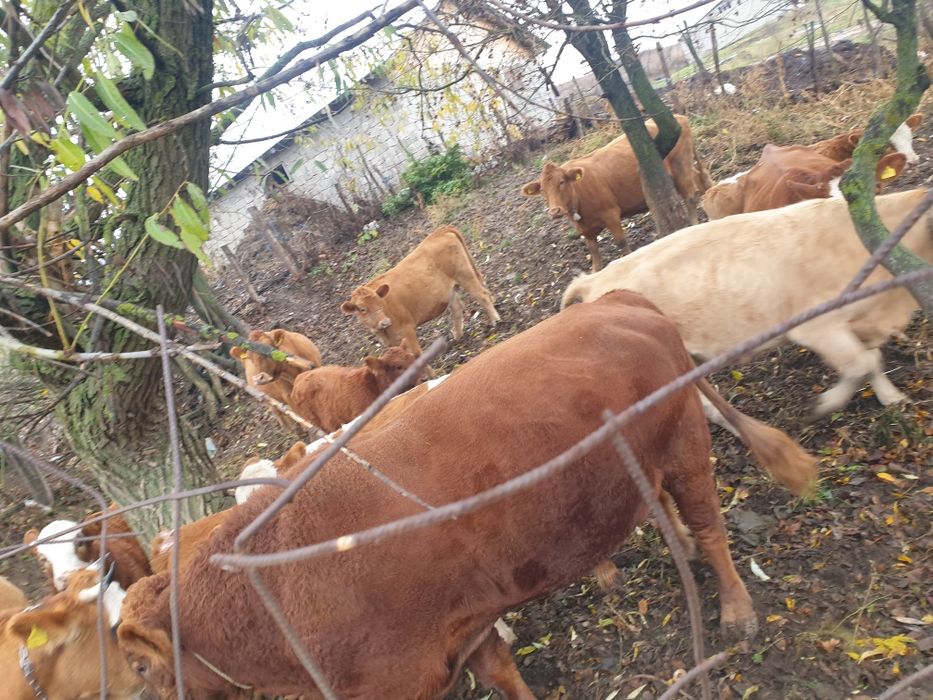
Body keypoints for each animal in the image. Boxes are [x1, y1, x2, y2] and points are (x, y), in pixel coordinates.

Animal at [341, 226, 500, 354]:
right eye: (362, 309)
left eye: (380, 302)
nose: (384, 322)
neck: (384, 332)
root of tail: (440, 231)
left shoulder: (408, 329)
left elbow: (416, 353)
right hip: (450, 290)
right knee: (457, 308)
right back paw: (458, 336)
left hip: (464, 275)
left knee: (482, 295)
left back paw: (495, 320)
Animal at [521, 114, 713, 271]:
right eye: (542, 191)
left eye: (561, 182)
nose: (555, 211)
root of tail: (679, 117)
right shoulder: (586, 231)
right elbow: (595, 259)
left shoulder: (611, 213)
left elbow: (621, 242)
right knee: (700, 177)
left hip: (680, 166)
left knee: (690, 196)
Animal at [563, 189, 932, 418]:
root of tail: (594, 280)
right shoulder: (817, 327)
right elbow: (861, 364)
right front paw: (825, 404)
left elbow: (874, 360)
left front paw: (892, 398)